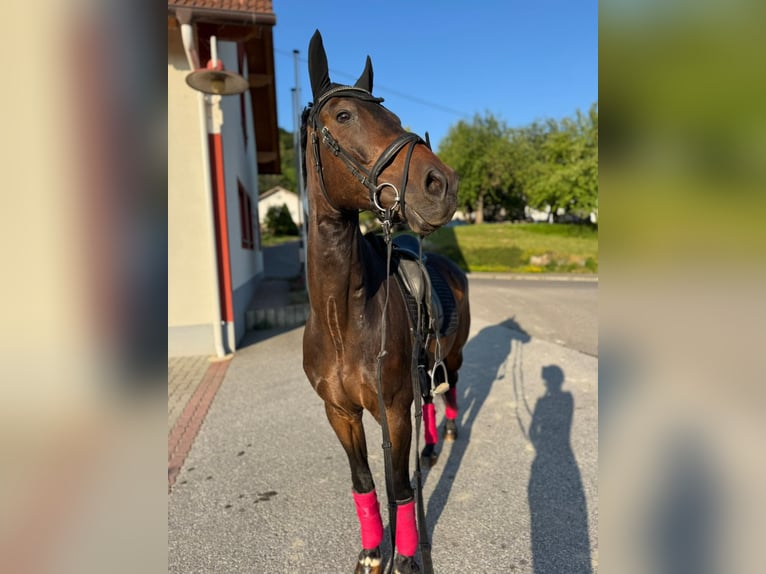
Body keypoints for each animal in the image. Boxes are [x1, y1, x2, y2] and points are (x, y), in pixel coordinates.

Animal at [301, 31, 471, 574]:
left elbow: (400, 488)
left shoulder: (393, 411)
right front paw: (375, 553)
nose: (442, 184)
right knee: (431, 404)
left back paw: (447, 437)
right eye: (343, 116)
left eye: (393, 116)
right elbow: (365, 483)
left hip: (452, 356)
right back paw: (433, 446)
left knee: (450, 392)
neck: (343, 318)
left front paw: (409, 558)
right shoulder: (341, 413)